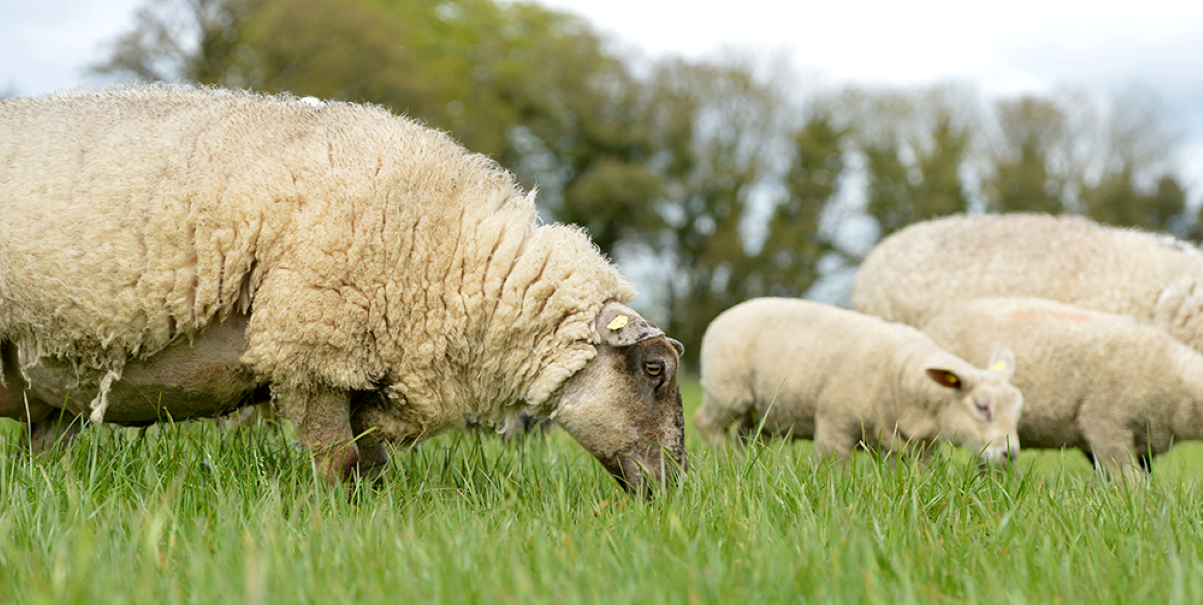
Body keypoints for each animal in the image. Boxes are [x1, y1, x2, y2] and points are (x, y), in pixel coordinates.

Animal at [0, 85, 686, 496]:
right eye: (654, 369)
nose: (677, 487)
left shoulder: (365, 372)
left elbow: (371, 469)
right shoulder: (312, 349)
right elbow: (336, 464)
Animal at [693, 298, 1022, 466]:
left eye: (1018, 411)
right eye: (982, 406)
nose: (1010, 454)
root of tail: (727, 312)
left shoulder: (913, 448)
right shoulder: (834, 427)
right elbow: (831, 470)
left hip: (761, 411)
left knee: (747, 436)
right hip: (727, 392)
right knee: (706, 424)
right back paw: (727, 461)